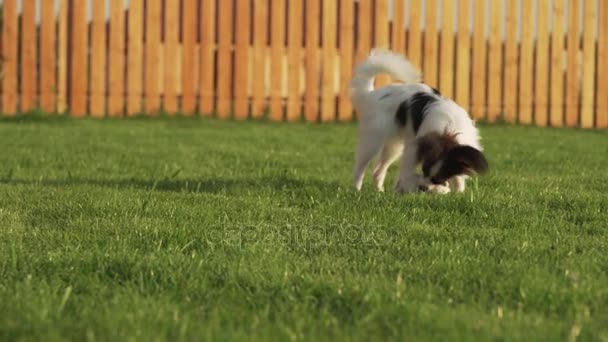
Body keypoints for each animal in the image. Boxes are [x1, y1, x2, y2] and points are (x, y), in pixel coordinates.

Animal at [350, 50, 486, 195]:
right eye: (424, 170)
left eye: (438, 179)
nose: (424, 187)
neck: (448, 129)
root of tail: (370, 94)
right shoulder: (412, 149)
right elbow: (406, 171)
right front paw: (403, 188)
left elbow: (459, 177)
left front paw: (458, 192)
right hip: (373, 141)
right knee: (360, 167)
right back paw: (357, 190)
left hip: (393, 146)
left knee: (378, 171)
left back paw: (380, 191)